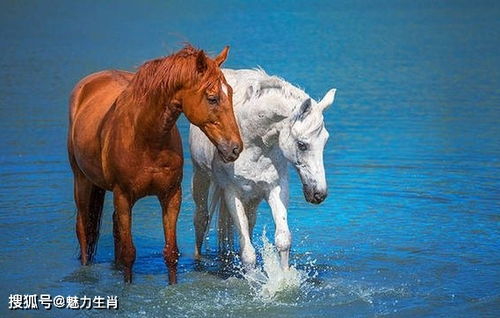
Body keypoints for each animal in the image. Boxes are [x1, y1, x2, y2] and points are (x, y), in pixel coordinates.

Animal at [67, 44, 243, 284]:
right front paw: (127, 286)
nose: (235, 148)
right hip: (82, 181)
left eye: (231, 94)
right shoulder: (123, 196)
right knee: (84, 229)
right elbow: (129, 253)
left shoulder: (171, 195)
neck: (147, 137)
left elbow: (170, 252)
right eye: (212, 98)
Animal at [189, 69, 338, 268]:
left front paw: (283, 276)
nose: (319, 194)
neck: (252, 140)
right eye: (302, 145)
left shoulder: (275, 188)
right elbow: (248, 253)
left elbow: (283, 240)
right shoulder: (231, 193)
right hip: (200, 177)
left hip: (253, 198)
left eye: (325, 141)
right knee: (201, 219)